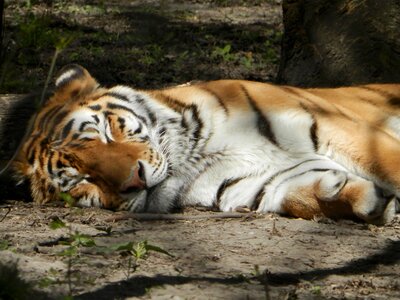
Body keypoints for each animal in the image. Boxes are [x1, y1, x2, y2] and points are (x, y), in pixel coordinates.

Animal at [11, 63, 400, 223]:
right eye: (82, 179)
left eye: (107, 132)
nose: (135, 180)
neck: (195, 154)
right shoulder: (258, 182)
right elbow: (302, 196)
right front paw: (367, 200)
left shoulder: (334, 127)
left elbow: (389, 165)